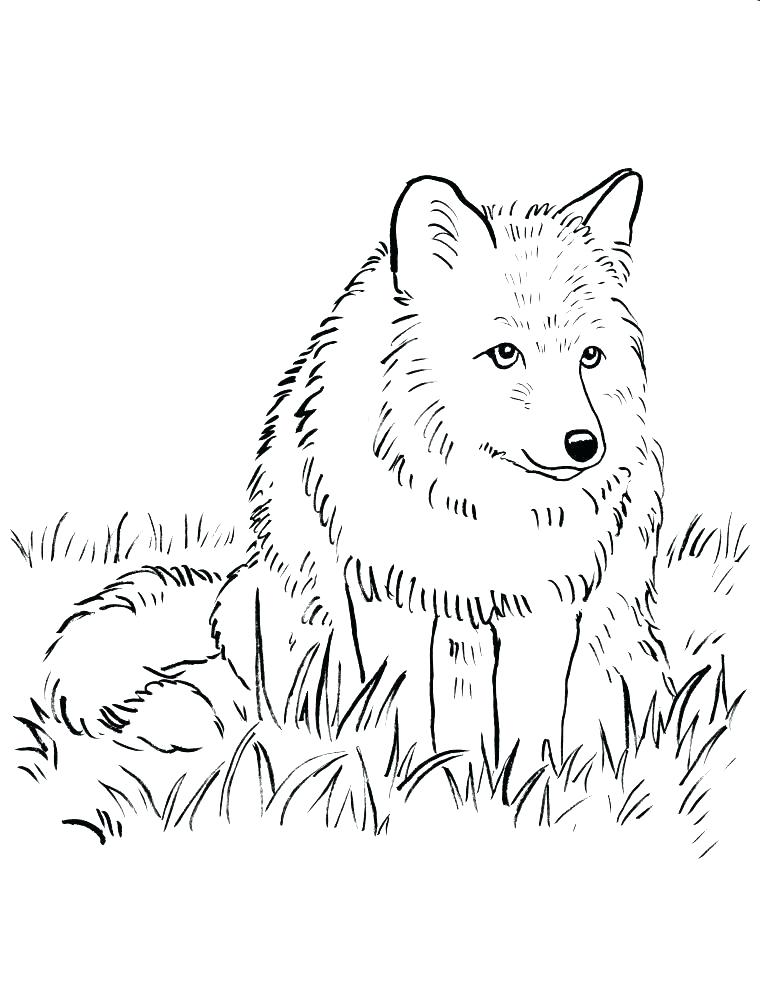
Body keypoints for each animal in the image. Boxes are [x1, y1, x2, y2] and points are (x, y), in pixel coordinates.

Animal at [38, 169, 669, 800]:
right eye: (505, 354)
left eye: (590, 356)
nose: (584, 445)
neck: (475, 505)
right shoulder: (386, 594)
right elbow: (404, 709)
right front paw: (410, 784)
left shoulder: (547, 605)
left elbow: (531, 723)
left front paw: (527, 790)